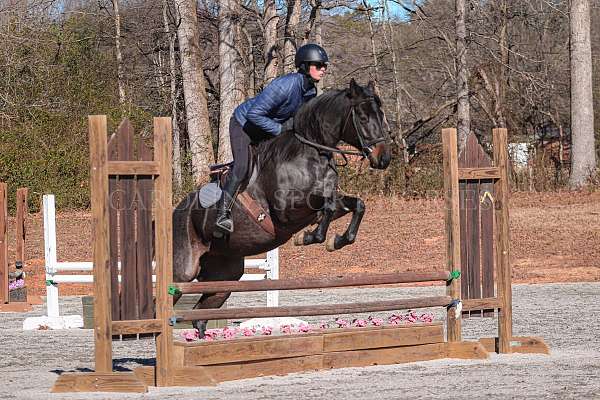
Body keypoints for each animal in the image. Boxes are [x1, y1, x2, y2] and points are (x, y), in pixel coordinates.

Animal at [171, 78, 392, 334]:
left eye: (381, 114)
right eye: (363, 118)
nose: (384, 158)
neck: (311, 153)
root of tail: (174, 212)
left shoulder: (327, 202)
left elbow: (356, 205)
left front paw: (335, 241)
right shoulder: (287, 210)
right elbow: (325, 207)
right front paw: (309, 237)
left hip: (224, 274)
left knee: (200, 316)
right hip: (183, 271)